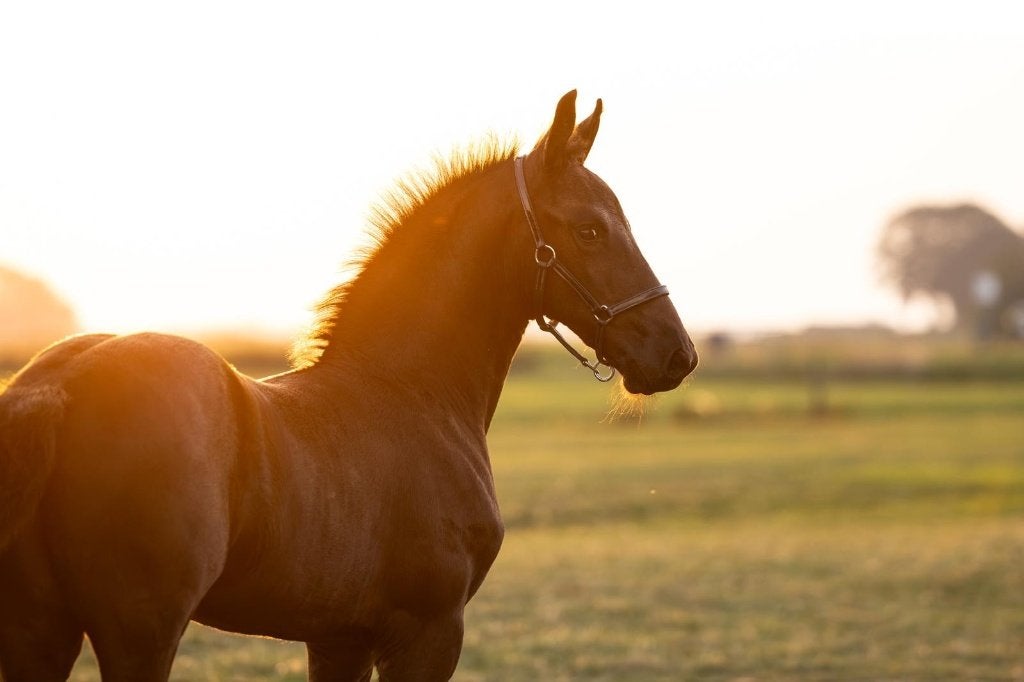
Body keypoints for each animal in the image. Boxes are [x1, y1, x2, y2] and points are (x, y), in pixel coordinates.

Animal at [0, 90, 697, 681]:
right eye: (589, 229)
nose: (675, 354)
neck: (407, 391)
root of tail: (59, 387)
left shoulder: (339, 638)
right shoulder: (429, 634)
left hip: (41, 632)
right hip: (139, 634)